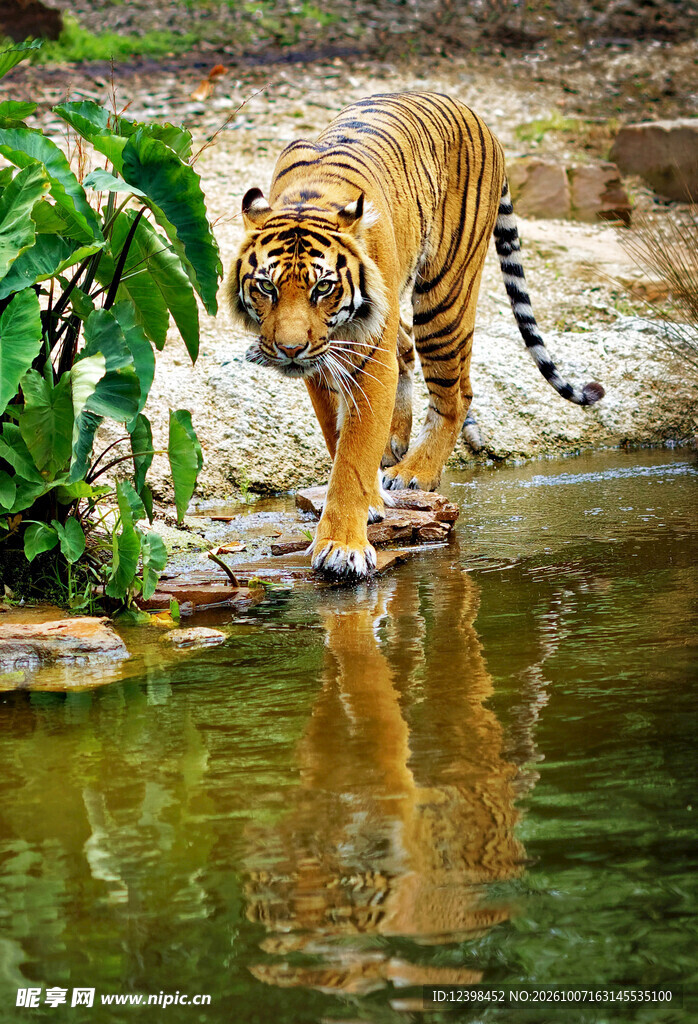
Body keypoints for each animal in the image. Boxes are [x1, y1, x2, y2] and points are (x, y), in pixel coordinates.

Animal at [227, 92, 604, 579]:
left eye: (322, 287)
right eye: (266, 287)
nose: (289, 350)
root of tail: (476, 115)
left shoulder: (366, 353)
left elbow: (353, 455)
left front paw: (342, 546)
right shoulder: (324, 364)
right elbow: (339, 436)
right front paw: (364, 500)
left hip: (443, 297)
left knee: (455, 393)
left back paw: (415, 471)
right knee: (413, 361)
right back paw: (396, 445)